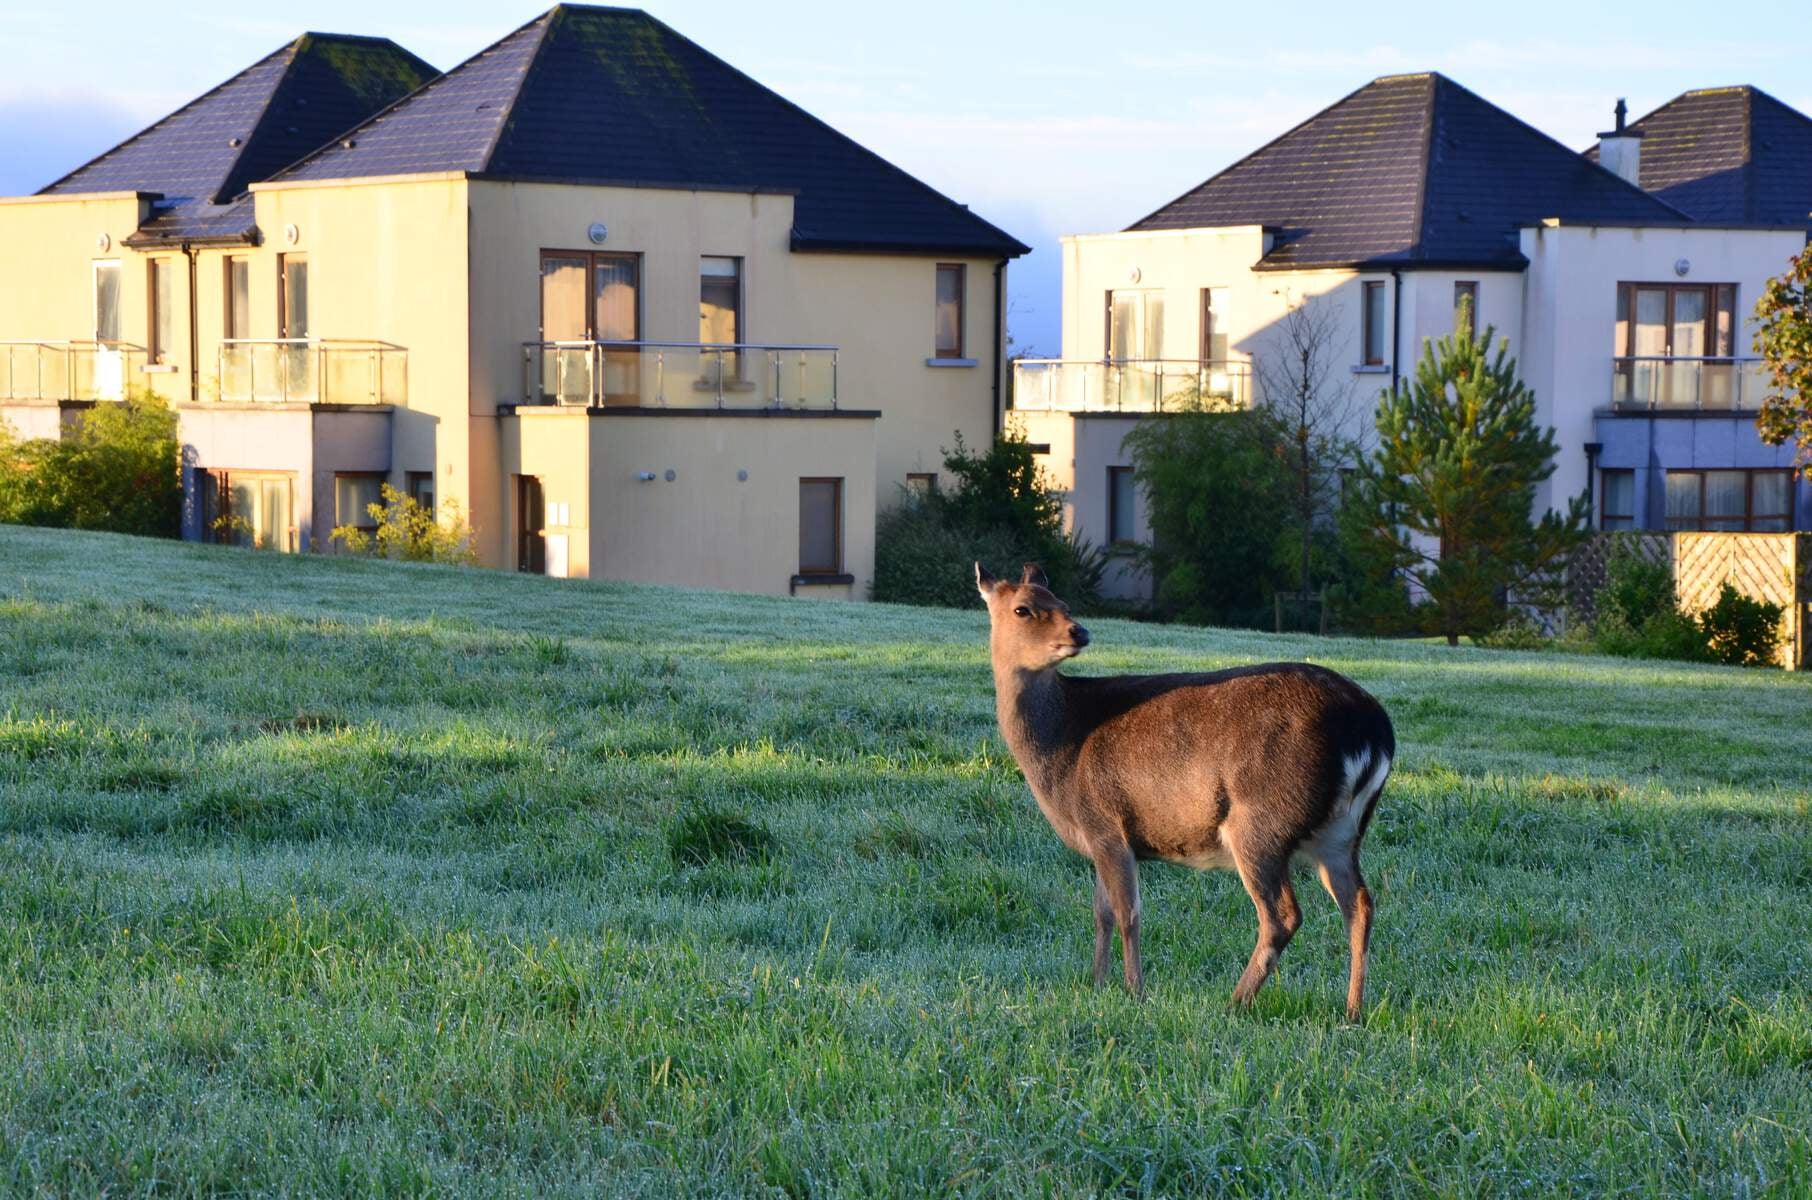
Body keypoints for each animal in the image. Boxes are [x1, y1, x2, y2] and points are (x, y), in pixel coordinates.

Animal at [978, 565, 1384, 1022]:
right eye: (1024, 608)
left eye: (1062, 603)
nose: (1079, 631)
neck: (1061, 751)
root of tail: (1373, 730)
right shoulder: (1100, 839)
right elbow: (1100, 912)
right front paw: (1097, 984)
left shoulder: (1105, 822)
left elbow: (1127, 912)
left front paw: (1135, 992)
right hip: (1340, 833)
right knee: (1360, 904)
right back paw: (1352, 1011)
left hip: (1261, 820)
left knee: (1283, 914)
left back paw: (1235, 1002)